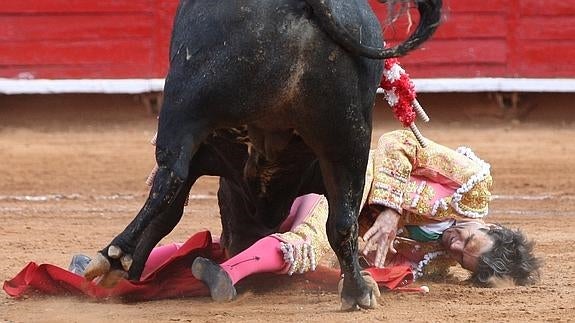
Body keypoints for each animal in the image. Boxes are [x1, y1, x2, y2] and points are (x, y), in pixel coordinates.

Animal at [88, 0, 444, 310]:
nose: (232, 243)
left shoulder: (202, 152)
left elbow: (168, 209)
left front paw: (124, 266)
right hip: (348, 137)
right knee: (343, 220)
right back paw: (358, 290)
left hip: (184, 104)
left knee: (168, 178)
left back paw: (114, 253)